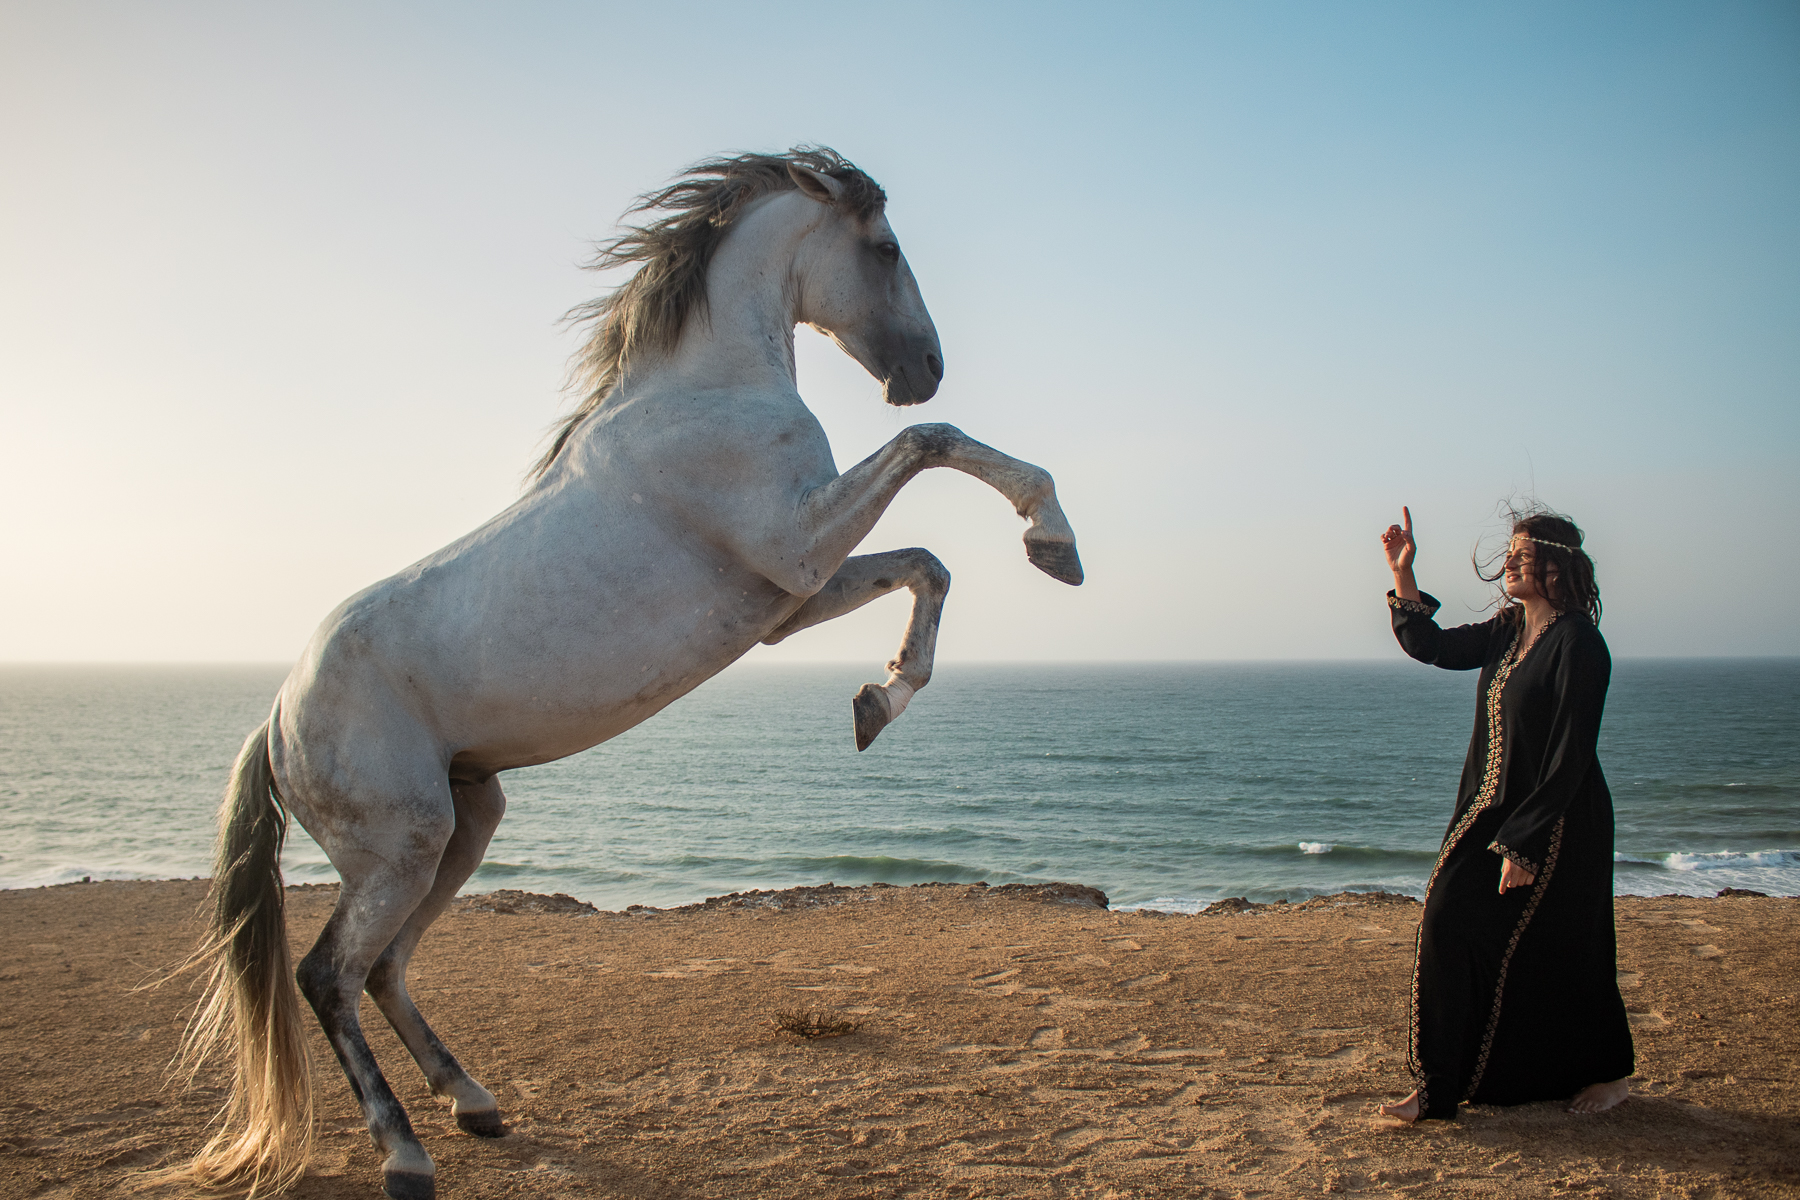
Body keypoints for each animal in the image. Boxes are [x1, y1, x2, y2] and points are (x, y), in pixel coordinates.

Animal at [170, 147, 1082, 1200]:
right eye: (887, 248)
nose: (924, 369)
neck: (704, 391)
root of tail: (275, 720)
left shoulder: (788, 599)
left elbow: (928, 563)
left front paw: (877, 701)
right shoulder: (797, 548)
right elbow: (934, 445)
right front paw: (1053, 539)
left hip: (464, 824)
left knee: (386, 967)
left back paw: (475, 1104)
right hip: (403, 843)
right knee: (330, 976)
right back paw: (404, 1152)